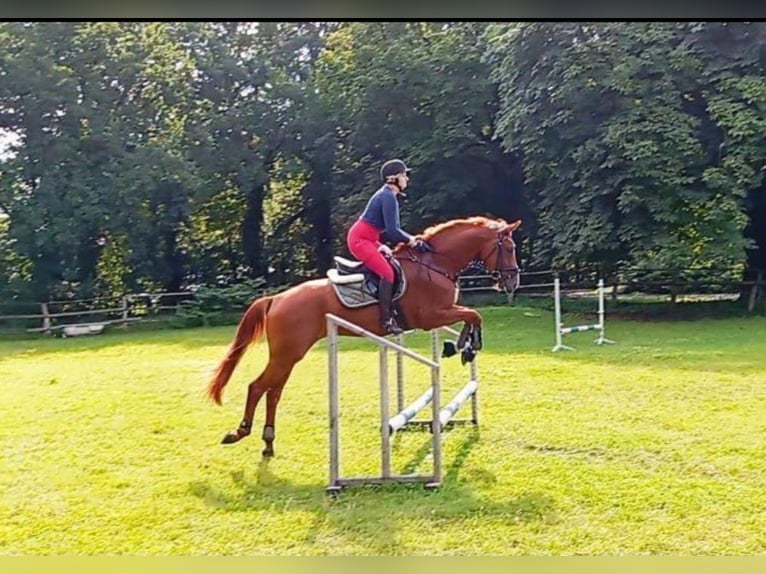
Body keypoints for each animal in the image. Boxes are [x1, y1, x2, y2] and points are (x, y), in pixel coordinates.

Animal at [207, 216, 524, 460]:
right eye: (509, 247)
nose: (513, 282)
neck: (435, 265)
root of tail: (276, 299)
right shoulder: (432, 316)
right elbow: (474, 315)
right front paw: (467, 347)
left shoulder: (442, 314)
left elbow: (472, 316)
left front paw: (461, 346)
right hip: (287, 353)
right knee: (258, 387)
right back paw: (240, 432)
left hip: (290, 354)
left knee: (273, 392)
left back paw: (268, 442)